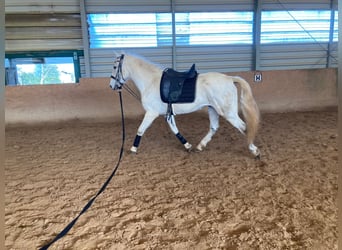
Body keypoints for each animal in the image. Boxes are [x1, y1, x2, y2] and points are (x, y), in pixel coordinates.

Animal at [111, 52, 260, 158]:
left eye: (114, 67)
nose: (112, 86)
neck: (151, 81)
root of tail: (229, 78)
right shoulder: (168, 114)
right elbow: (175, 130)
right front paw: (187, 146)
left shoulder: (151, 113)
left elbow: (140, 129)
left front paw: (133, 149)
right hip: (213, 109)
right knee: (214, 127)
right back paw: (200, 146)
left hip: (228, 112)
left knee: (244, 126)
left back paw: (254, 150)